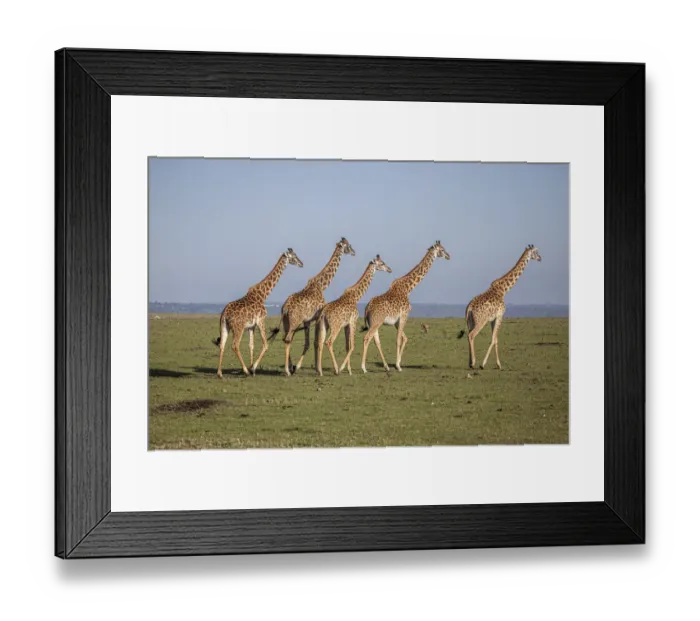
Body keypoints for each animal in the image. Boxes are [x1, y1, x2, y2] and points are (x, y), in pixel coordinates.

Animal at [212, 248, 303, 378]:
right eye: (293, 256)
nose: (301, 264)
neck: (263, 295)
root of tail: (224, 314)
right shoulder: (261, 321)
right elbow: (265, 345)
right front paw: (252, 368)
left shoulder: (251, 326)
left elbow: (251, 345)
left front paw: (252, 368)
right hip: (238, 328)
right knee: (235, 345)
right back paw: (245, 371)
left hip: (224, 326)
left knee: (222, 345)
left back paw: (220, 373)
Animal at [269, 238, 355, 376]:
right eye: (348, 246)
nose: (354, 252)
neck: (321, 285)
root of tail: (285, 308)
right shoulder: (317, 317)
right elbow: (316, 342)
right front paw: (318, 369)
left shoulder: (308, 320)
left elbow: (310, 342)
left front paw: (314, 368)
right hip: (294, 321)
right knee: (287, 339)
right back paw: (287, 370)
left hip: (287, 322)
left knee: (286, 338)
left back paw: (290, 367)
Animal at [360, 241, 451, 374]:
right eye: (442, 250)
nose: (448, 256)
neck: (408, 289)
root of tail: (367, 308)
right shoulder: (404, 316)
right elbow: (399, 340)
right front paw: (398, 366)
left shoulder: (397, 322)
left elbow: (405, 338)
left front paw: (397, 363)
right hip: (376, 322)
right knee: (367, 338)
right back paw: (363, 367)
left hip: (374, 323)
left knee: (376, 341)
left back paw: (386, 366)